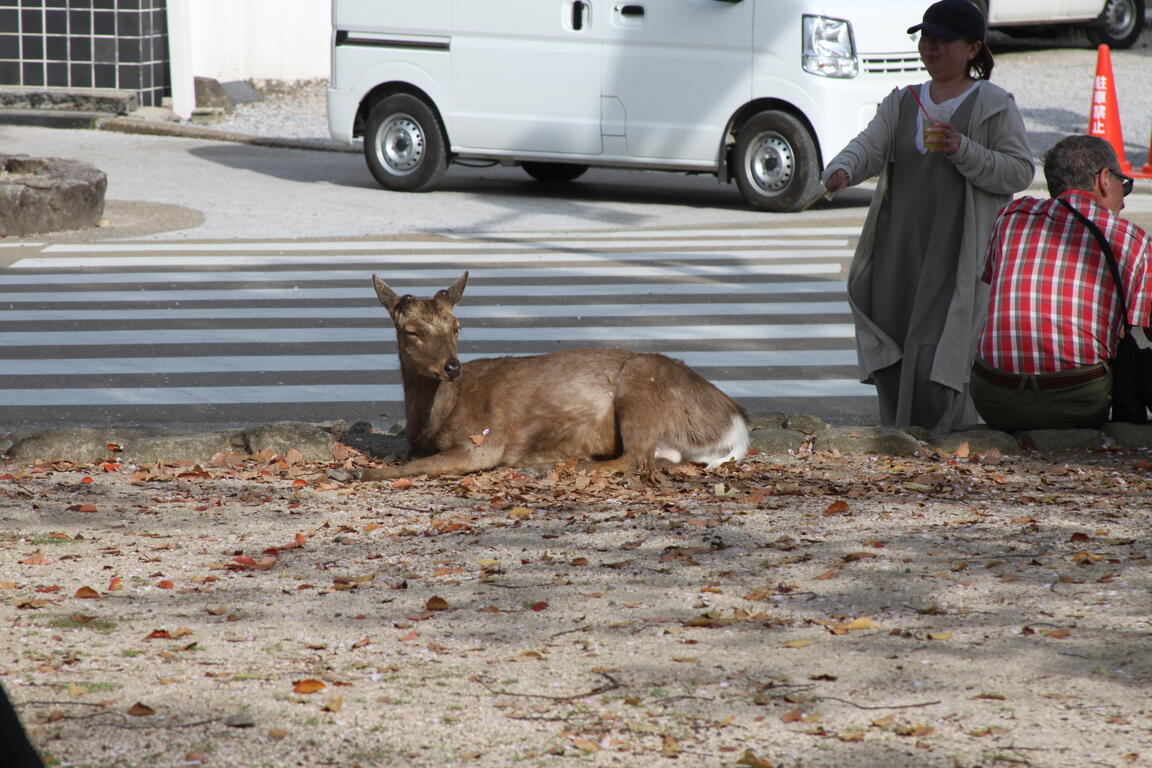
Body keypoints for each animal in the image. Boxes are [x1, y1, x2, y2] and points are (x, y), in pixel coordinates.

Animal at [359, 271, 751, 481]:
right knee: (659, 458)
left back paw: (554, 466)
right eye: (411, 331)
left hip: (642, 390)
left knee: (635, 458)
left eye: (457, 326)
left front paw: (359, 472)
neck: (433, 421)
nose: (452, 366)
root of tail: (735, 425)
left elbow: (416, 466)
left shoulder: (483, 440)